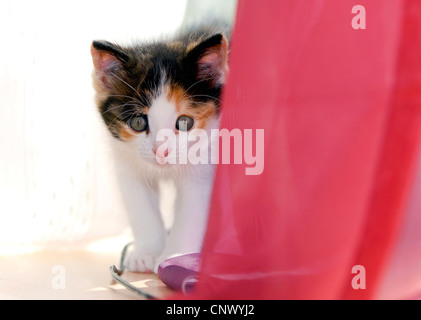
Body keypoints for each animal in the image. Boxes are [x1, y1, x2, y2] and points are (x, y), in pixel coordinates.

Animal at [90, 23, 230, 272]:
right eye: (138, 123)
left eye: (185, 123)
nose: (161, 151)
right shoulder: (126, 162)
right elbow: (141, 209)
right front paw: (146, 252)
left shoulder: (204, 163)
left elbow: (192, 209)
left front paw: (176, 256)